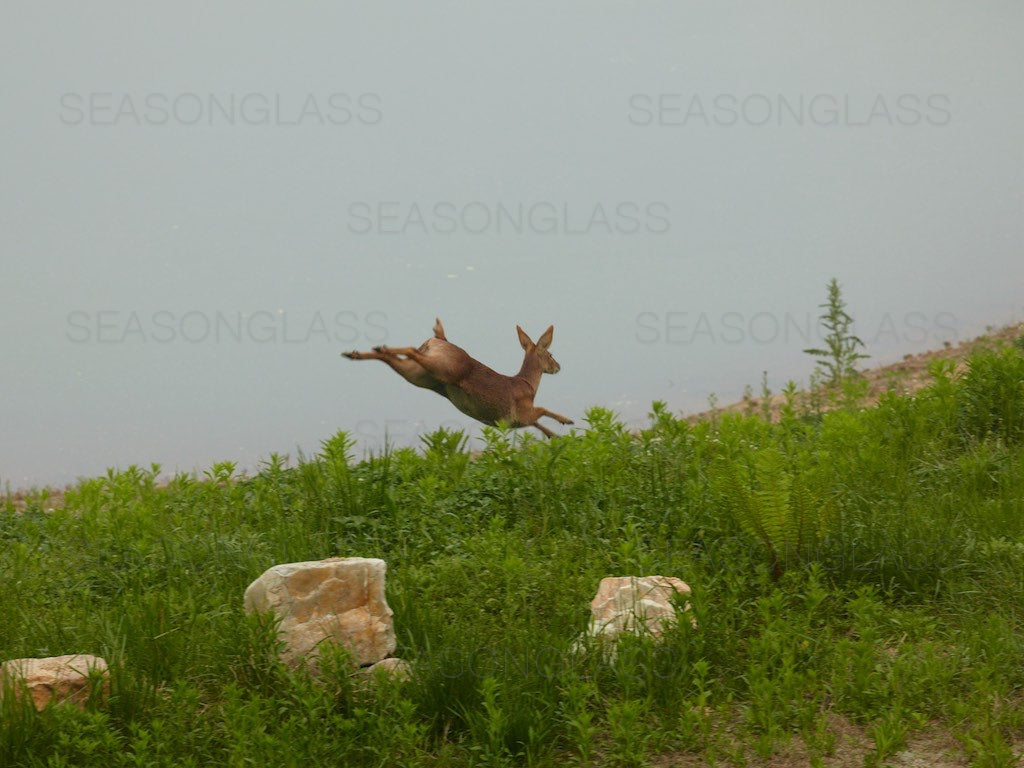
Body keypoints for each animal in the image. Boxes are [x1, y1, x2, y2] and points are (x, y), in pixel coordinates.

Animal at [339, 319, 573, 438]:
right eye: (551, 354)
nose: (558, 367)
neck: (528, 384)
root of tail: (438, 340)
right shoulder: (520, 413)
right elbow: (542, 411)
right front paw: (566, 421)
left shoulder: (518, 421)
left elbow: (539, 424)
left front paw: (555, 436)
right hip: (445, 368)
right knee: (411, 350)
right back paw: (379, 347)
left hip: (420, 375)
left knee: (394, 358)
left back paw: (358, 353)